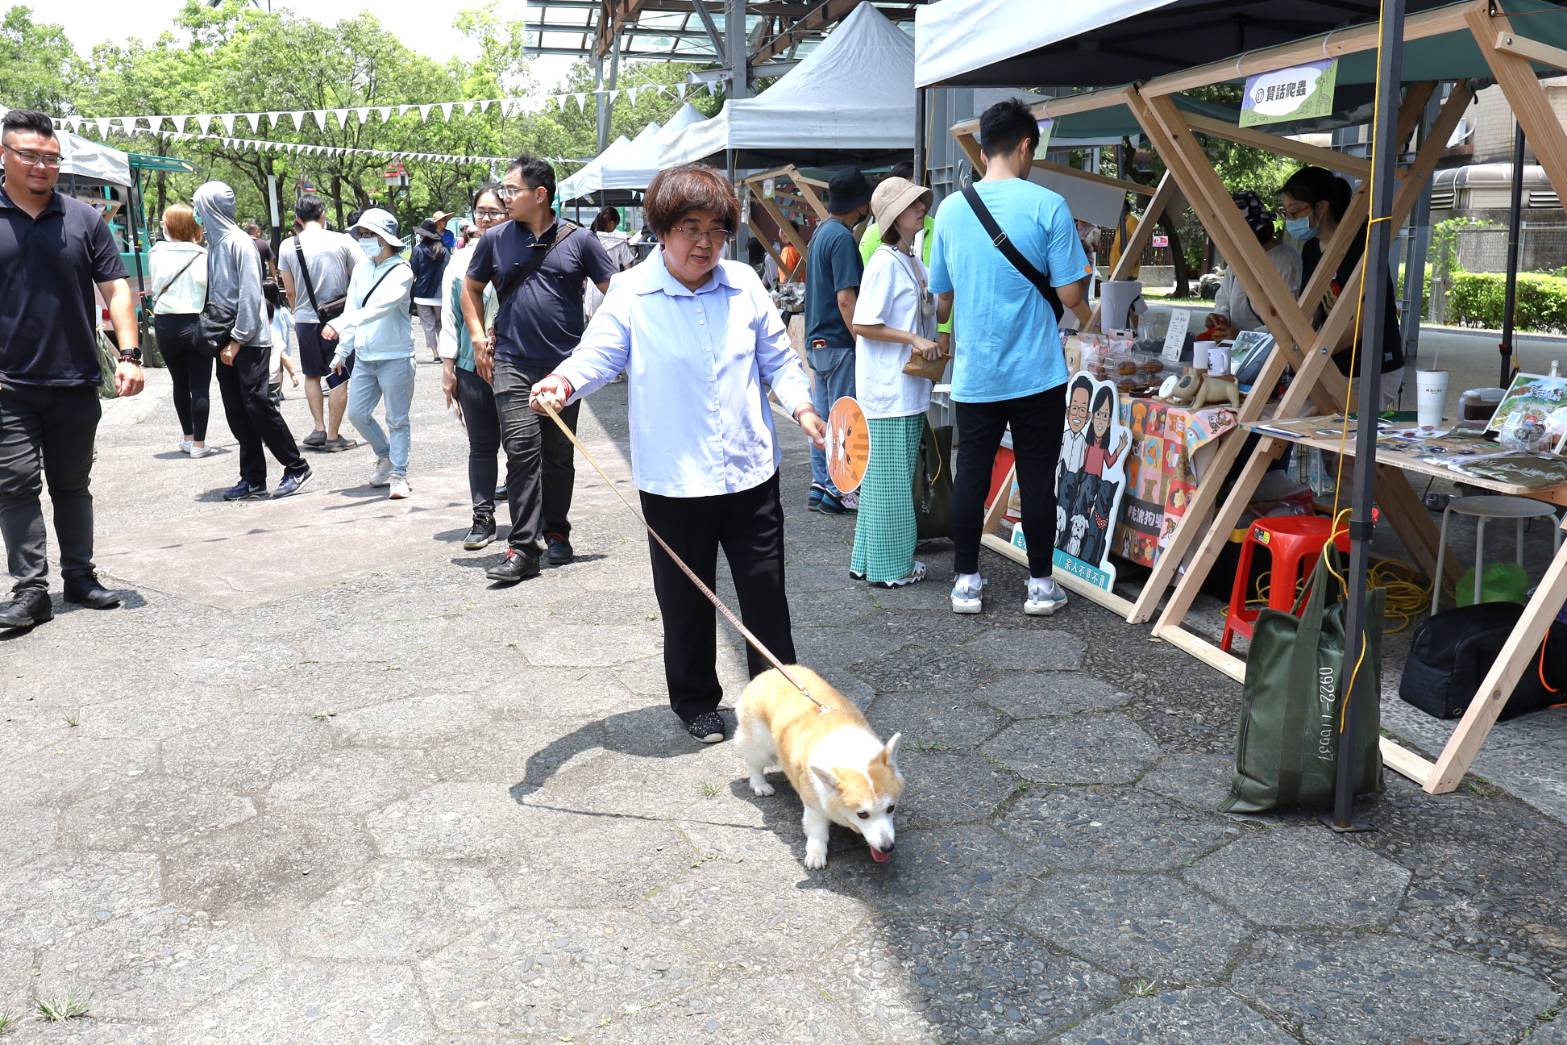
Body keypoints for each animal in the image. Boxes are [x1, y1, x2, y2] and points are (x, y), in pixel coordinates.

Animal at [736, 667, 908, 871]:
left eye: (891, 808)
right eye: (862, 814)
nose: (888, 847)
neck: (849, 753)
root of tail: (767, 673)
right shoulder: (814, 806)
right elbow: (817, 833)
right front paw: (816, 855)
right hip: (759, 745)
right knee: (754, 763)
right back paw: (760, 785)